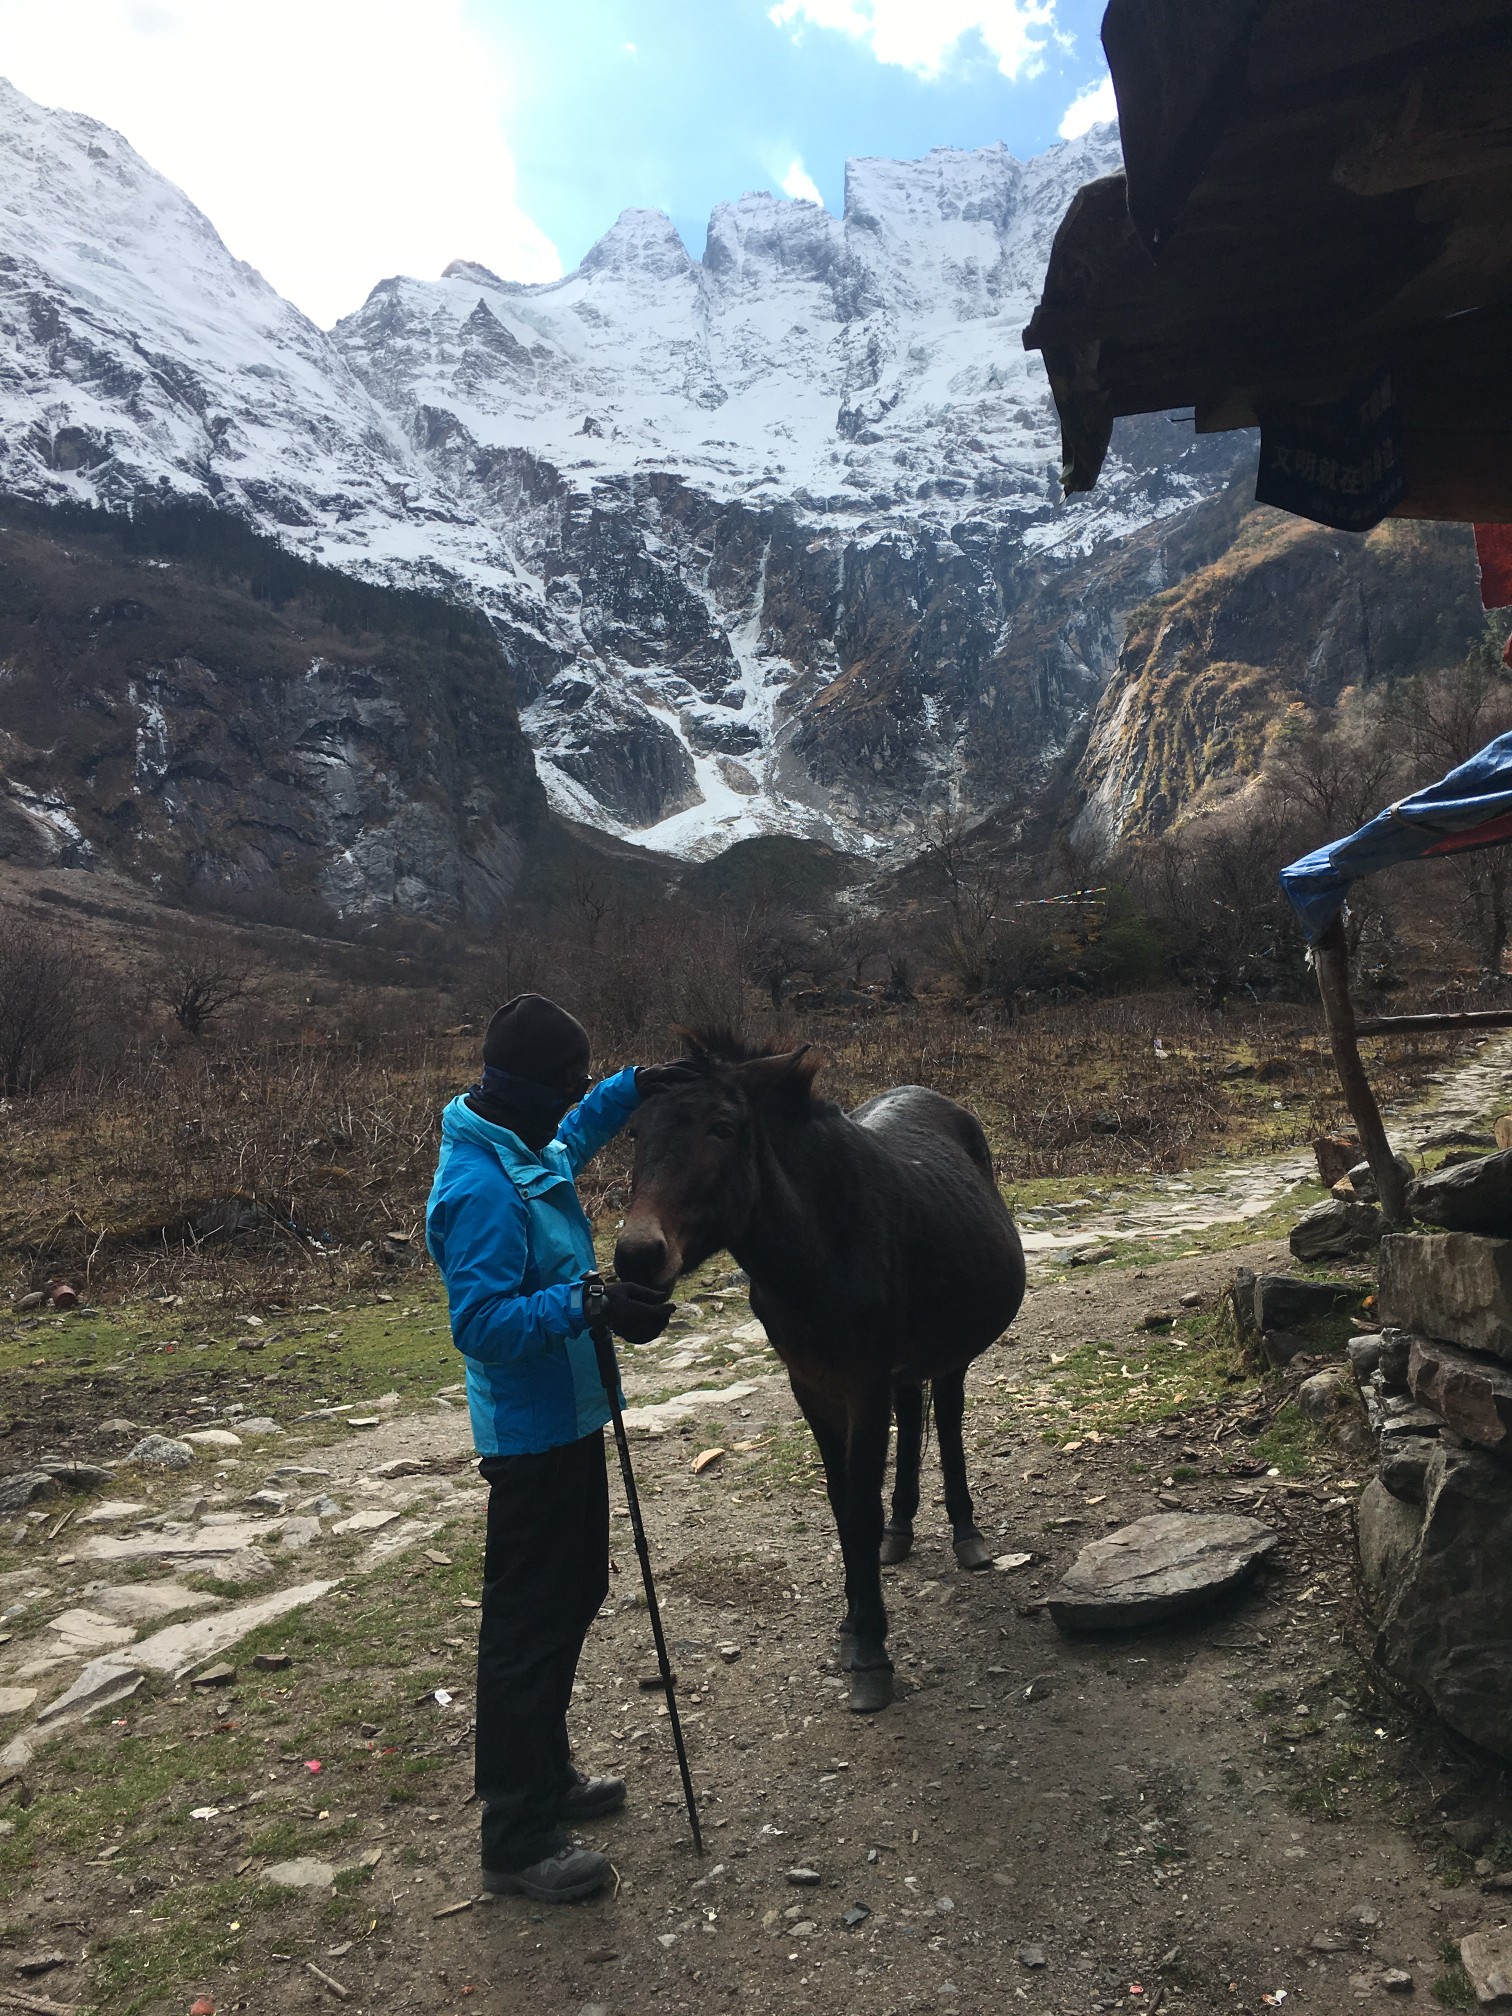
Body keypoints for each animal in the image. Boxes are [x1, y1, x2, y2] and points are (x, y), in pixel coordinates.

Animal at [616, 1032, 1032, 1709]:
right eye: (634, 1131)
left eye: (722, 1127)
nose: (636, 1256)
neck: (816, 1249)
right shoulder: (811, 1386)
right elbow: (841, 1503)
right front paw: (853, 1620)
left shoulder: (862, 1385)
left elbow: (859, 1502)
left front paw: (871, 1651)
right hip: (902, 1366)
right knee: (913, 1418)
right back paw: (900, 1530)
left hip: (950, 1353)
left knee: (946, 1420)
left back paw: (965, 1532)